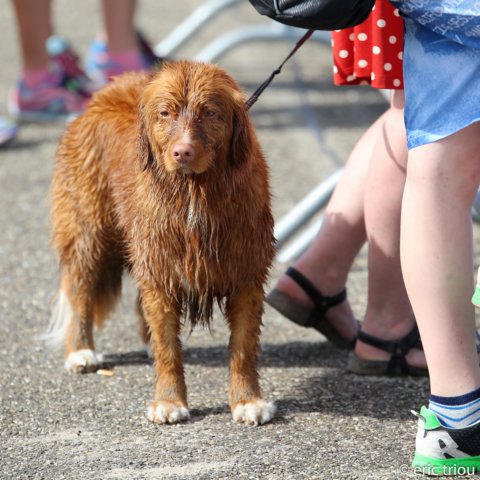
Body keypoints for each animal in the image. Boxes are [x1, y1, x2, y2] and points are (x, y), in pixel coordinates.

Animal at [47, 60, 278, 424]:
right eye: (165, 113)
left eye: (209, 112)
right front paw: (169, 402)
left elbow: (243, 347)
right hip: (91, 233)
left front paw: (248, 401)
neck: (195, 194)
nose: (182, 151)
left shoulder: (246, 273)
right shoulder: (162, 266)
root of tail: (101, 96)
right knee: (81, 289)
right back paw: (81, 351)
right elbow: (169, 349)